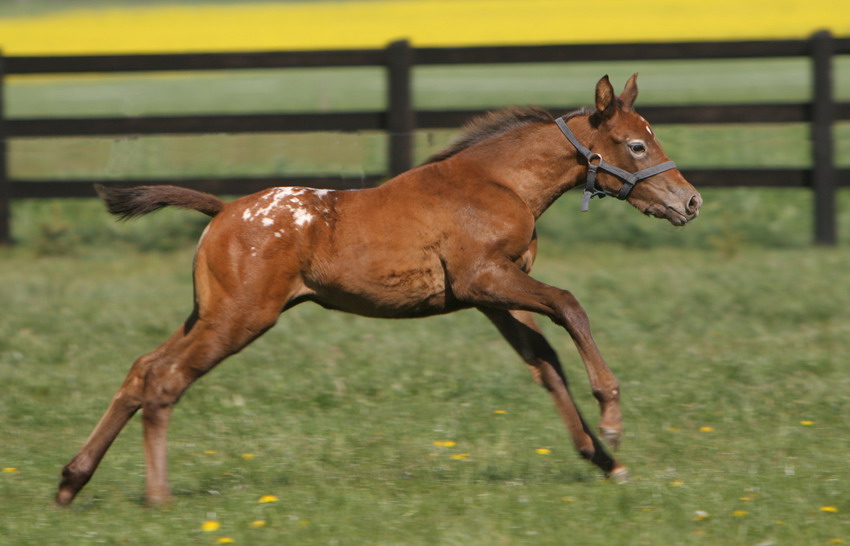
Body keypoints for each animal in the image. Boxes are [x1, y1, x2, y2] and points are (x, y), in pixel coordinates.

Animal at [56, 74, 700, 504]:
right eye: (637, 145)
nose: (690, 201)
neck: (499, 182)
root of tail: (223, 211)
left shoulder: (492, 296)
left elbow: (543, 361)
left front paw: (604, 460)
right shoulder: (486, 278)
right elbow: (571, 305)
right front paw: (612, 418)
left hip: (209, 312)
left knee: (141, 369)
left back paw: (71, 480)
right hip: (240, 317)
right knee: (165, 380)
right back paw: (158, 497)